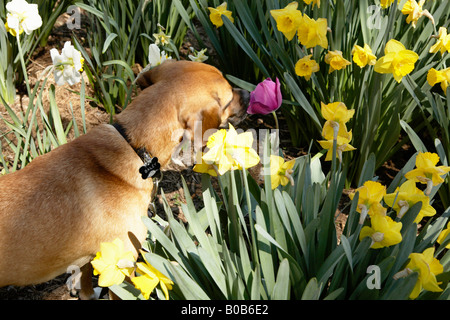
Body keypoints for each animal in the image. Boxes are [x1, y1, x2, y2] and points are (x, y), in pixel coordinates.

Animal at [0, 60, 250, 300]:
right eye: (229, 97)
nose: (249, 93)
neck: (134, 146)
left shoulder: (94, 255)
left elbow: (86, 277)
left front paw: (88, 293)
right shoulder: (123, 264)